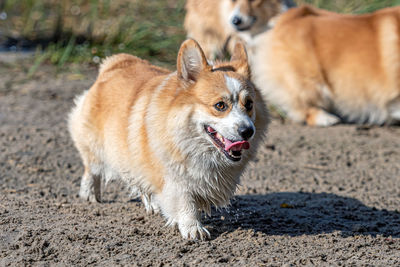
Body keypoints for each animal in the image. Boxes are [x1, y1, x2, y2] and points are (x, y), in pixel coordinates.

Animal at [68, 40, 268, 241]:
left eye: (249, 104)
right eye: (220, 105)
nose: (247, 131)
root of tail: (116, 63)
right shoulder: (173, 176)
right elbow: (184, 201)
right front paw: (192, 228)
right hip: (95, 145)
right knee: (91, 168)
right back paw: (90, 194)